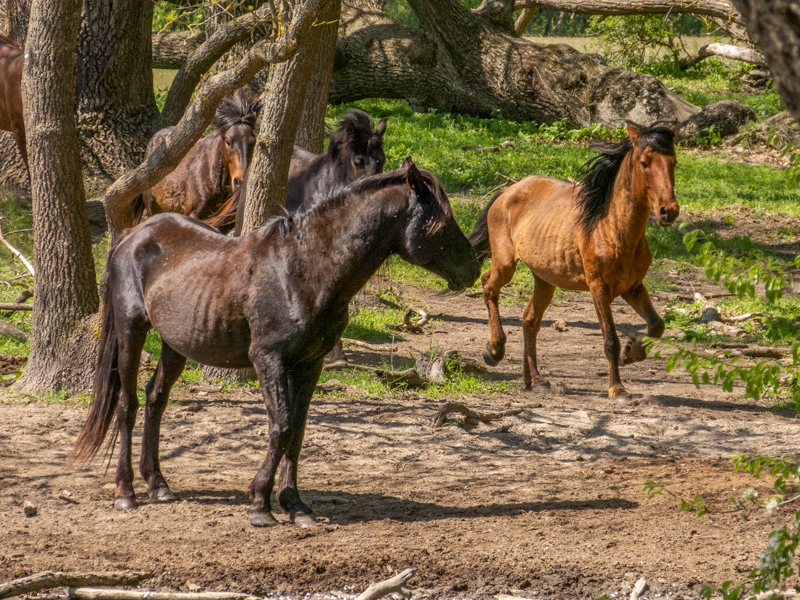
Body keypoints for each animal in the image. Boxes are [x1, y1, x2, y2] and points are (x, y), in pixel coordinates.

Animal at [69, 159, 480, 528]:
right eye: (441, 222)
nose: (474, 270)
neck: (301, 271)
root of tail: (132, 235)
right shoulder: (268, 359)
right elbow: (280, 427)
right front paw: (260, 504)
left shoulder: (309, 364)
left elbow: (296, 433)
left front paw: (295, 506)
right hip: (131, 329)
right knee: (128, 404)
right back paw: (125, 492)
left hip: (176, 343)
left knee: (156, 399)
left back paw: (158, 484)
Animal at [469, 121, 679, 402]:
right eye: (644, 163)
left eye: (673, 162)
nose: (669, 211)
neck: (609, 227)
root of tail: (507, 191)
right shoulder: (598, 288)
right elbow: (610, 340)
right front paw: (618, 389)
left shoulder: (632, 287)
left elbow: (657, 325)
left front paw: (632, 353)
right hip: (505, 265)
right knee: (488, 287)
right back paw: (494, 351)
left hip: (544, 279)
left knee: (529, 320)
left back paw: (534, 381)